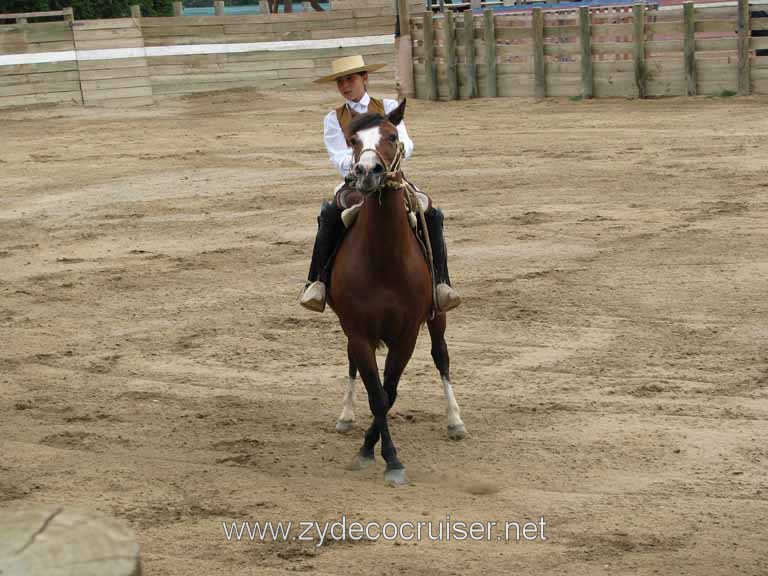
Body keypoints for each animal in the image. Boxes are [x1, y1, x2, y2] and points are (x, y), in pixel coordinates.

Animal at [328, 100, 464, 486]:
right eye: (352, 140)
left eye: (392, 136)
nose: (367, 171)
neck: (384, 260)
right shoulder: (358, 332)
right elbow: (377, 395)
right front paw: (376, 453)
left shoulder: (406, 336)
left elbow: (389, 392)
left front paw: (382, 454)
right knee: (352, 365)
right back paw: (345, 415)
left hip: (437, 318)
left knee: (441, 357)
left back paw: (455, 420)